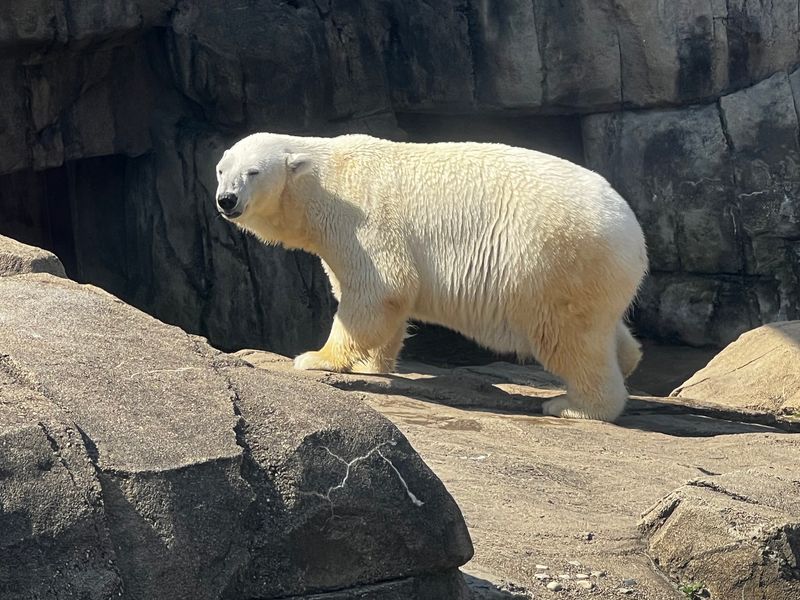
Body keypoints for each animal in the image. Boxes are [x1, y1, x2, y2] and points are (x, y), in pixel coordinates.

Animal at [215, 132, 648, 421]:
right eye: (221, 170)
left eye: (253, 172)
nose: (226, 200)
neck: (323, 178)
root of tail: (631, 228)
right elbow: (388, 301)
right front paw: (371, 367)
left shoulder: (361, 219)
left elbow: (378, 289)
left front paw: (315, 358)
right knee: (600, 328)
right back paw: (625, 362)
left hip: (557, 262)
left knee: (568, 339)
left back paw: (572, 405)